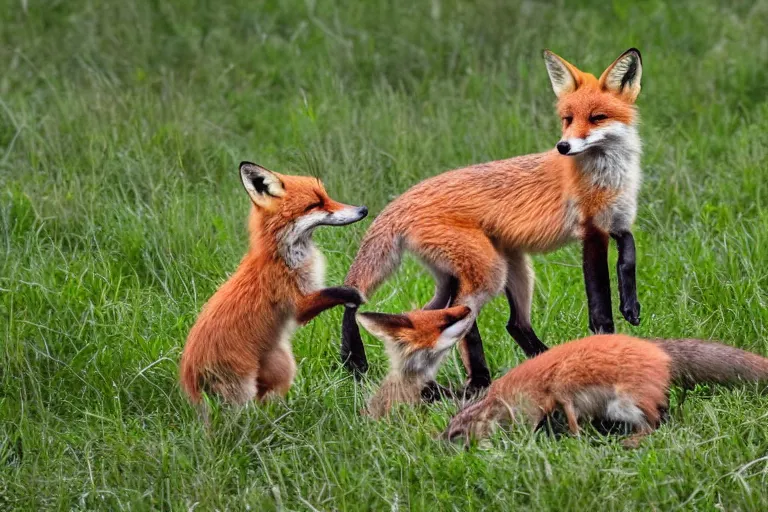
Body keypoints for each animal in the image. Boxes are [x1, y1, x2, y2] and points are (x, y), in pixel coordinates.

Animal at [183, 163, 368, 404]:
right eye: (316, 204)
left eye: (326, 196)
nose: (363, 209)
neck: (283, 259)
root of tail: (188, 378)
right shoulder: (297, 305)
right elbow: (335, 292)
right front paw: (354, 295)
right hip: (254, 380)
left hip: (279, 362)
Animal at [342, 49, 648, 392]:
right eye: (567, 119)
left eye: (597, 118)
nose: (563, 146)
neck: (609, 176)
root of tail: (402, 199)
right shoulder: (591, 232)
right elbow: (600, 305)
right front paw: (606, 344)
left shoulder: (617, 221)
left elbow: (629, 252)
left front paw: (631, 306)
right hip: (489, 273)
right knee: (462, 321)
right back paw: (477, 384)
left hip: (504, 270)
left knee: (502, 323)